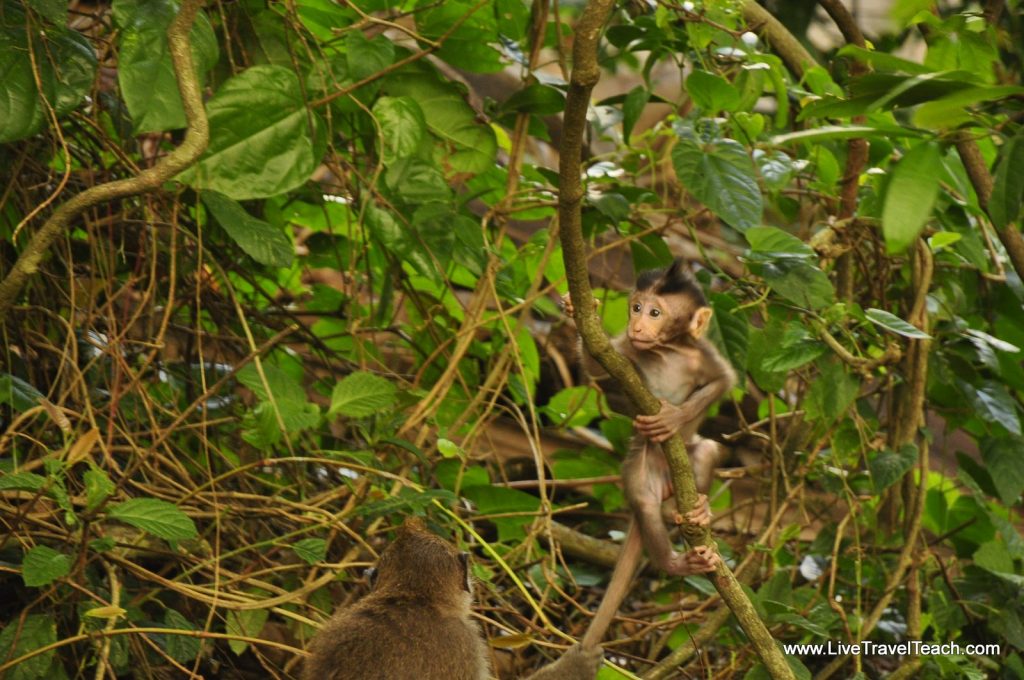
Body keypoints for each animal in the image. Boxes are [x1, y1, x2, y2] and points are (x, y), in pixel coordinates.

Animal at [561, 258, 736, 648]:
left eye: (655, 312)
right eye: (636, 307)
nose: (637, 324)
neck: (669, 350)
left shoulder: (704, 353)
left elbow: (724, 380)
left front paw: (674, 416)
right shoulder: (628, 349)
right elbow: (596, 365)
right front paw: (576, 311)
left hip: (685, 463)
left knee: (707, 450)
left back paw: (697, 509)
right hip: (640, 467)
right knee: (644, 502)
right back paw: (673, 560)